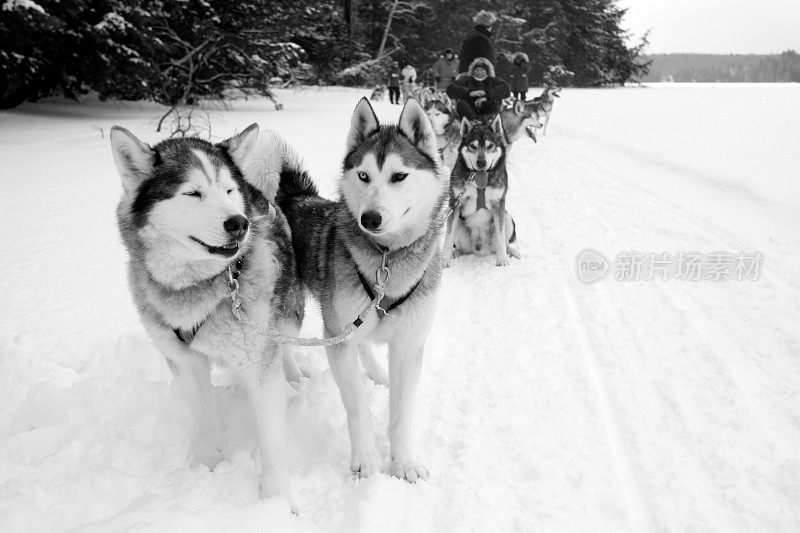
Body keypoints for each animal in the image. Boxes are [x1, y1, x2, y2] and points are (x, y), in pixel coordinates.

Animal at [278, 97, 446, 480]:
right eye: (363, 176)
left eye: (399, 176)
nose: (369, 218)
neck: (386, 260)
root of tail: (295, 197)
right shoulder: (337, 335)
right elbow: (357, 408)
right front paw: (367, 461)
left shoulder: (409, 345)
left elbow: (401, 413)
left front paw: (404, 462)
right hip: (292, 309)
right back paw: (293, 379)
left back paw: (378, 373)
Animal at [440, 116, 520, 266]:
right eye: (473, 146)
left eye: (490, 146)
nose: (481, 163)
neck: (480, 185)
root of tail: (481, 249)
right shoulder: (455, 203)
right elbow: (448, 238)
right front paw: (444, 260)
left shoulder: (498, 204)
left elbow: (501, 237)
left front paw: (502, 259)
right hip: (459, 225)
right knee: (461, 248)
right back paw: (455, 253)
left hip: (508, 218)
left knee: (505, 242)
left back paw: (511, 251)